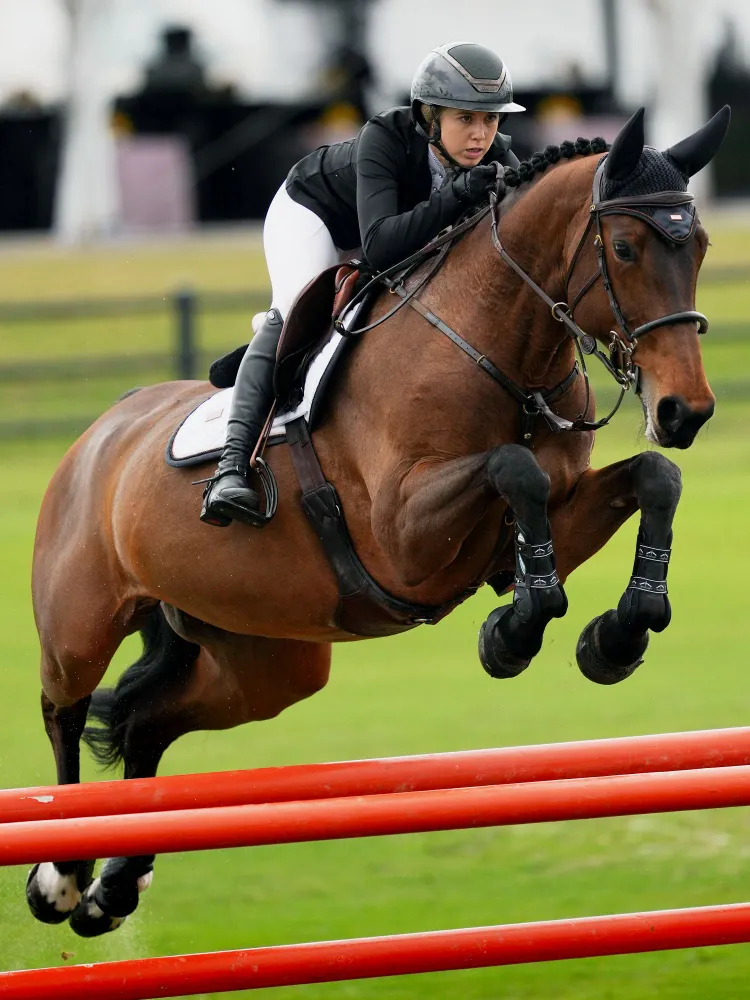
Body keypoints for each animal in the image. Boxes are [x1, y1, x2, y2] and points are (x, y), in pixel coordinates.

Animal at [27, 105, 730, 936]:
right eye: (623, 248)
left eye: (700, 245)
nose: (684, 411)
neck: (499, 351)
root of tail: (98, 434)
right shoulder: (404, 534)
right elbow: (511, 468)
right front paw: (516, 632)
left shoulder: (546, 514)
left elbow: (653, 478)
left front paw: (614, 635)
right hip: (82, 620)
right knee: (65, 709)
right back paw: (61, 878)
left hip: (265, 661)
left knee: (146, 721)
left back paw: (116, 888)